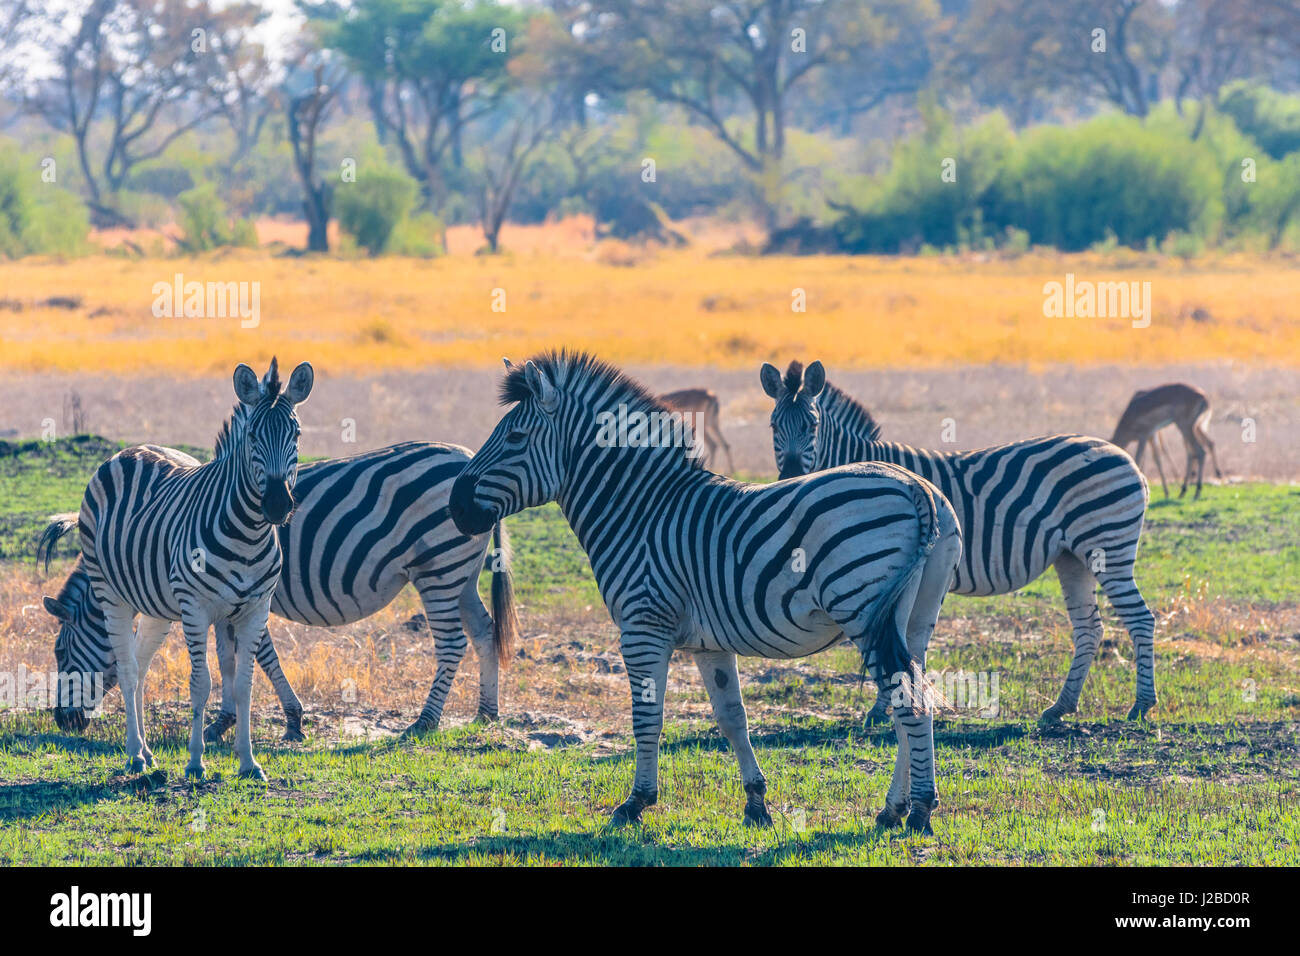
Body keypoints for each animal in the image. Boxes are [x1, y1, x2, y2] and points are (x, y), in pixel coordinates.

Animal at [40, 444, 517, 743]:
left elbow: (260, 655)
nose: (63, 721)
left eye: (60, 652)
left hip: (437, 568)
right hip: (460, 573)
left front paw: (288, 719)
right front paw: (227, 721)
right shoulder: (225, 600)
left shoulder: (248, 596)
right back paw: (486, 712)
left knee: (453, 643)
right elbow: (228, 655)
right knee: (483, 630)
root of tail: (468, 456)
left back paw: (425, 722)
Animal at [77, 356, 313, 780]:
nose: (276, 505)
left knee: (140, 664)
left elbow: (244, 686)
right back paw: (135, 754)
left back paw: (148, 751)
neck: (249, 534)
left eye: (297, 434)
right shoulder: (196, 608)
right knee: (127, 668)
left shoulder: (255, 608)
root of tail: (127, 451)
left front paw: (248, 762)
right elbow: (201, 684)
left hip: (155, 605)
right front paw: (195, 761)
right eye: (252, 435)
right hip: (111, 593)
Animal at [452, 353, 961, 837]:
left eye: (515, 437)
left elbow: (647, 716)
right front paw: (756, 805)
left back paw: (919, 812)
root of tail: (916, 487)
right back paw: (894, 810)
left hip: (861, 607)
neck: (639, 511)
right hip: (914, 619)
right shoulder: (709, 643)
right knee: (914, 695)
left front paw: (635, 804)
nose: (456, 507)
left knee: (909, 702)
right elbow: (732, 717)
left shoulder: (643, 627)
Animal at [759, 361, 1159, 723]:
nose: (789, 475)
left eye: (812, 426)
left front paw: (880, 709)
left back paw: (1141, 705)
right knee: (1089, 628)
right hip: (1072, 557)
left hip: (1107, 545)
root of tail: (1126, 459)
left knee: (1140, 618)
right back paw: (1060, 707)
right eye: (774, 426)